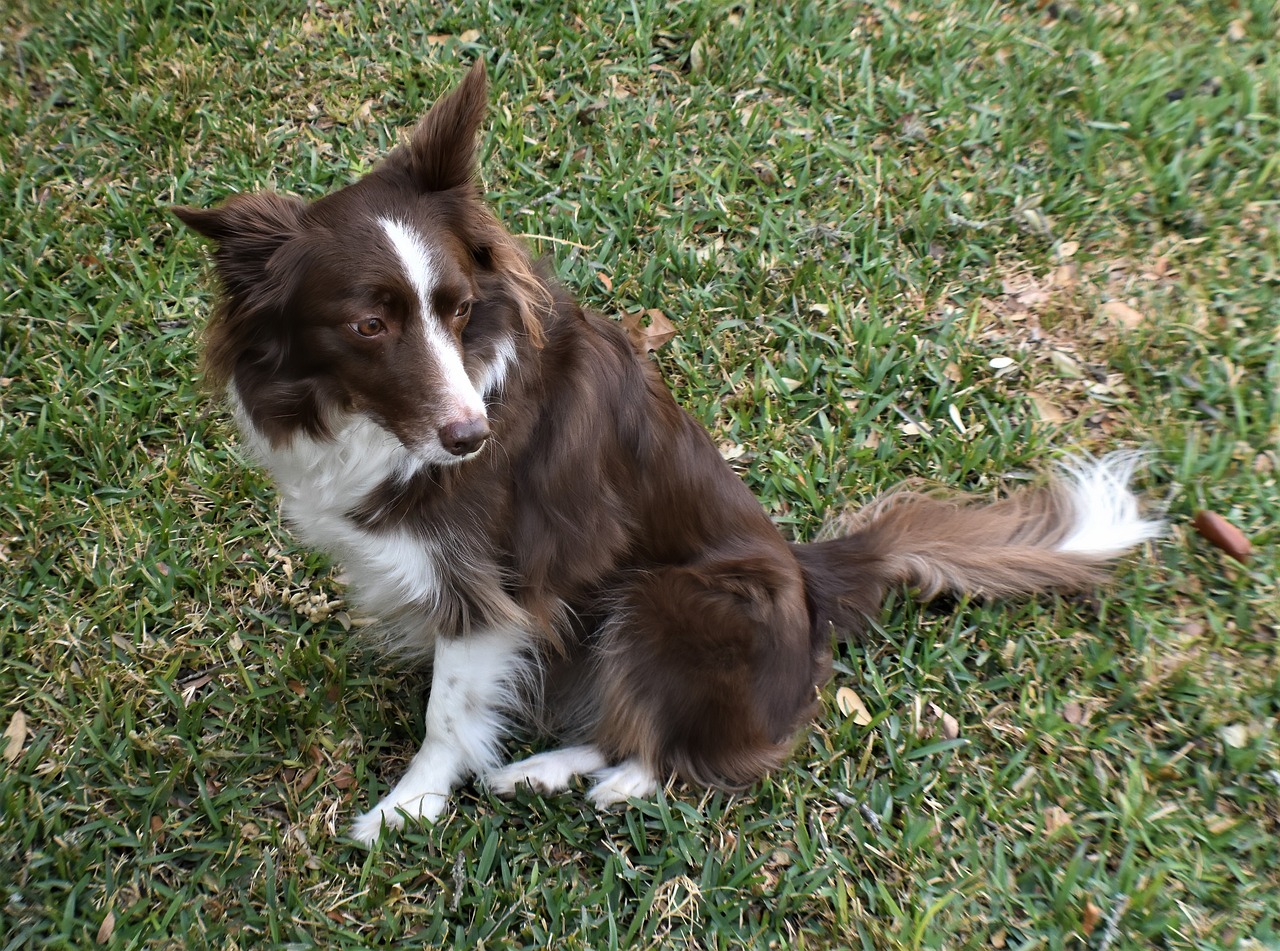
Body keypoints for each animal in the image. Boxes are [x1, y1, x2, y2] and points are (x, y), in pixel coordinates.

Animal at [170, 63, 1162, 844]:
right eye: (368, 326)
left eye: (457, 309)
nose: (469, 438)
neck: (370, 419)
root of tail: (808, 585)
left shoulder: (494, 579)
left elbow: (450, 710)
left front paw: (409, 806)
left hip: (665, 598)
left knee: (674, 747)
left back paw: (595, 777)